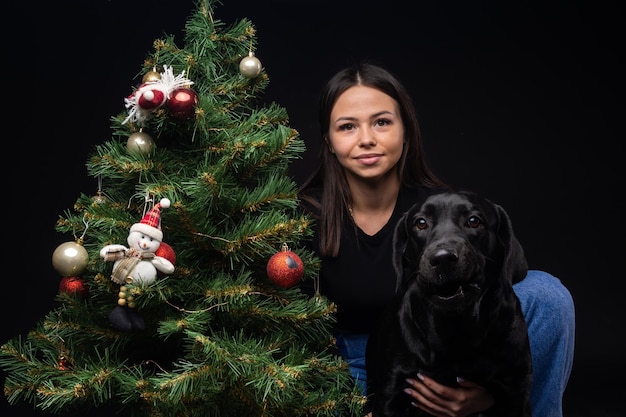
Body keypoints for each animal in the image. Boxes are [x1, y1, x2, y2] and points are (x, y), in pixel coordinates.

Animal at [366, 190, 532, 414]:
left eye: (474, 221)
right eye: (420, 223)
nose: (443, 258)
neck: (455, 328)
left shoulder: (516, 390)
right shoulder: (390, 394)